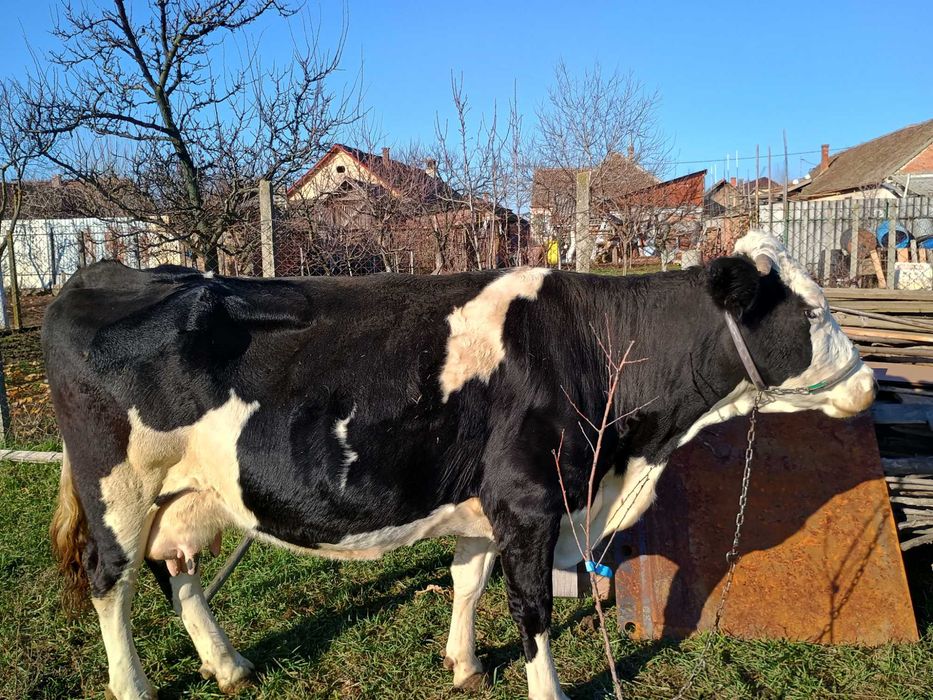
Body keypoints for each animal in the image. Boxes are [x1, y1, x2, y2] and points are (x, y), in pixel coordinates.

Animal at [45, 231, 875, 700]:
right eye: (812, 312)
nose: (868, 384)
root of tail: (111, 271)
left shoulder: (485, 506)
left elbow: (468, 584)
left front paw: (466, 666)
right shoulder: (529, 500)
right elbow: (532, 610)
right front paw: (548, 693)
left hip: (186, 493)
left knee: (175, 572)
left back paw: (227, 666)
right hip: (120, 489)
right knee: (110, 582)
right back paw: (133, 687)